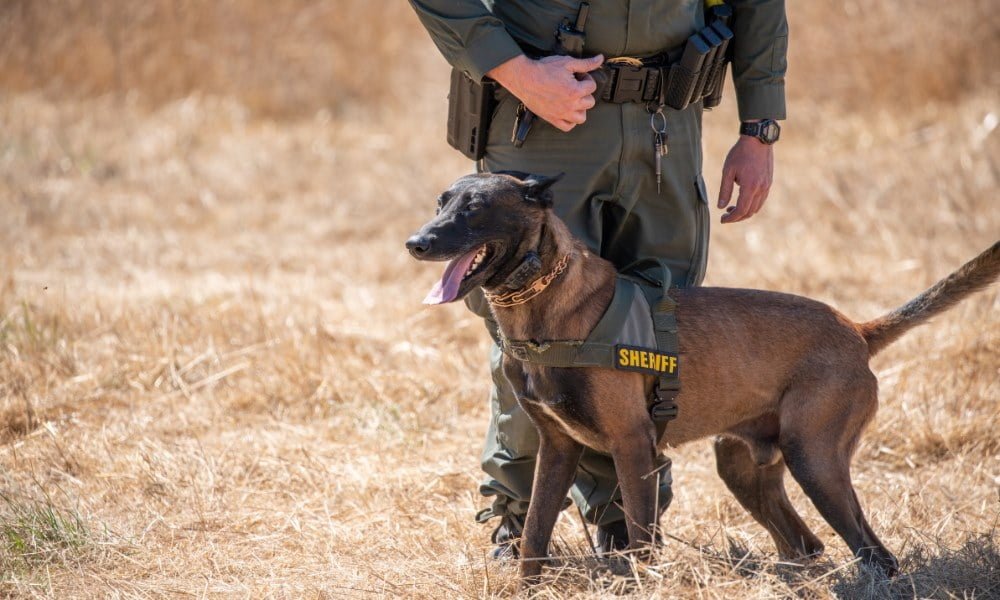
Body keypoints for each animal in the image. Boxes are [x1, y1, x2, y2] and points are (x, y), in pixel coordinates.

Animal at [402, 171, 996, 584]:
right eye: (441, 203)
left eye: (476, 208)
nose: (416, 243)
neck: (547, 312)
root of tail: (855, 328)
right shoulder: (557, 448)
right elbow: (533, 537)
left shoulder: (633, 446)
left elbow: (640, 539)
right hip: (745, 469)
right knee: (805, 544)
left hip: (816, 460)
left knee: (876, 554)